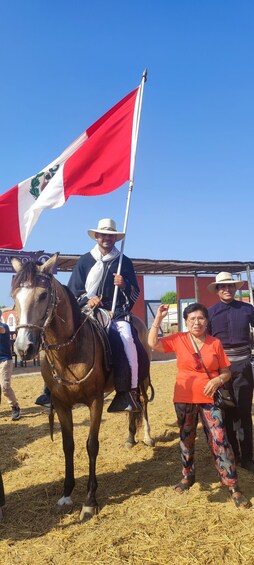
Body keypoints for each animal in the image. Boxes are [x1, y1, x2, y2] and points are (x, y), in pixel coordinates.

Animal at [10, 256, 154, 520]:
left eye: (43, 295)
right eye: (14, 295)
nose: (24, 348)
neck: (69, 352)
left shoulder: (95, 401)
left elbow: (91, 445)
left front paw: (89, 500)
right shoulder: (61, 405)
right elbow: (68, 446)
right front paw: (66, 494)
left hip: (141, 379)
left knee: (143, 405)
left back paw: (147, 437)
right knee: (132, 407)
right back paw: (130, 438)